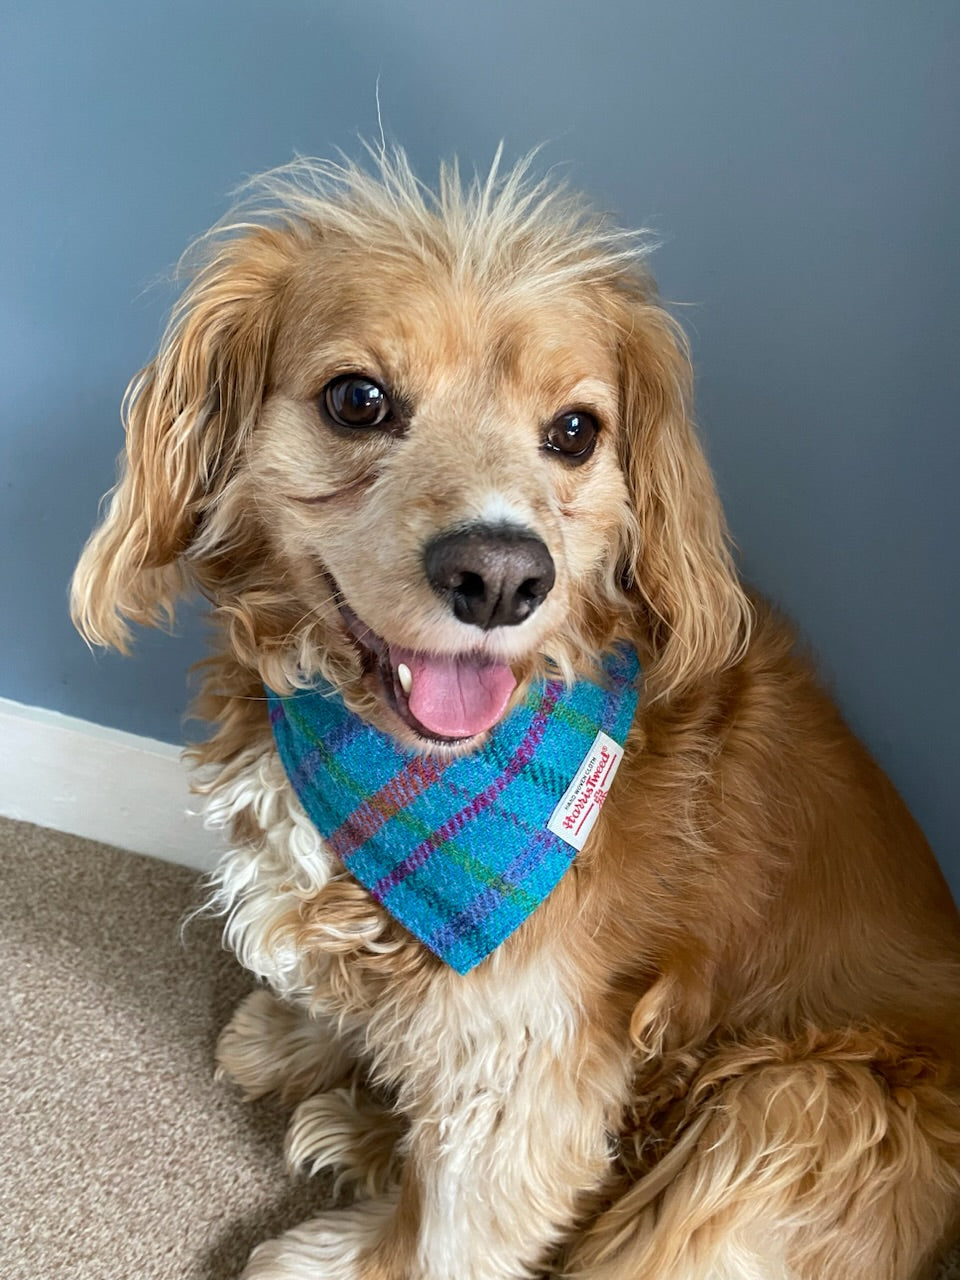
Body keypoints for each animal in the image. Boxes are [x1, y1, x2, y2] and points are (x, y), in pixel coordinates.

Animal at [69, 152, 960, 1280]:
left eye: (575, 431)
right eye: (358, 399)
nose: (499, 576)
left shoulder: (529, 1056)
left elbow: (455, 1223)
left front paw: (352, 1253)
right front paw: (296, 1037)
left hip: (787, 1106)